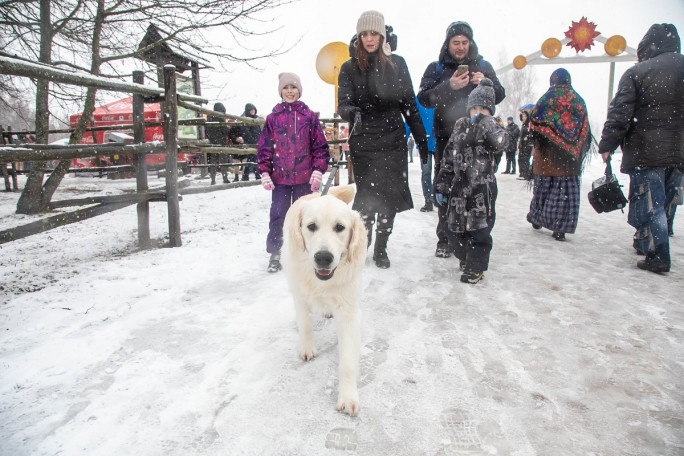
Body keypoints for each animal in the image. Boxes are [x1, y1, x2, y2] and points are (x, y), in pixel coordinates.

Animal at [280, 185, 368, 416]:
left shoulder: (349, 311)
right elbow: (306, 325)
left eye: (340, 227)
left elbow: (347, 362)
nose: (323, 258)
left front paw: (348, 397)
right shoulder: (300, 295)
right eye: (311, 226)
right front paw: (307, 348)